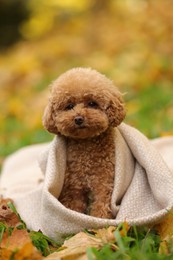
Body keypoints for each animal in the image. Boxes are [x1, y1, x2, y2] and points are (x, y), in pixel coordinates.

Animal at [42, 68, 125, 218]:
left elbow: (101, 206)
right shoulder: (74, 186)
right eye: (69, 106)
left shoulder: (104, 182)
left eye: (92, 103)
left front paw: (100, 222)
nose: (78, 119)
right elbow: (74, 207)